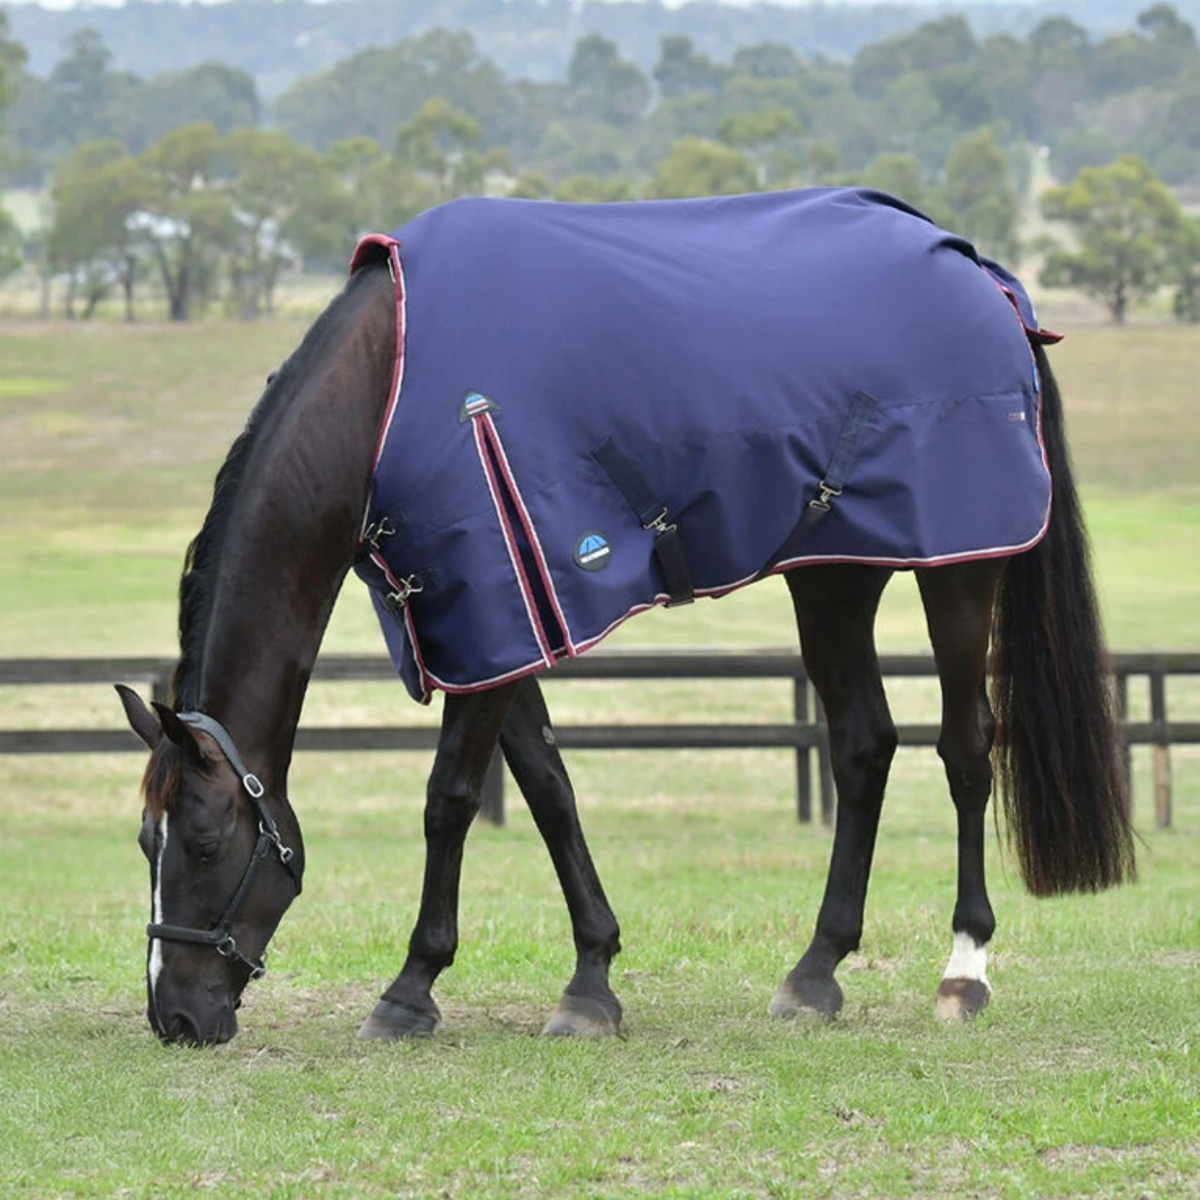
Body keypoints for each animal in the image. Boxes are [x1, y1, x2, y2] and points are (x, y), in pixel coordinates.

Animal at [116, 188, 1135, 1046]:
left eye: (204, 843)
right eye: (144, 842)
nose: (176, 1017)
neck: (392, 389)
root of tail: (982, 275)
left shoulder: (495, 605)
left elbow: (451, 799)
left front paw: (409, 990)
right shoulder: (489, 625)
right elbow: (548, 791)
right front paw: (591, 979)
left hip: (958, 570)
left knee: (966, 747)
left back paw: (964, 970)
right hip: (833, 575)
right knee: (861, 747)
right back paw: (815, 973)